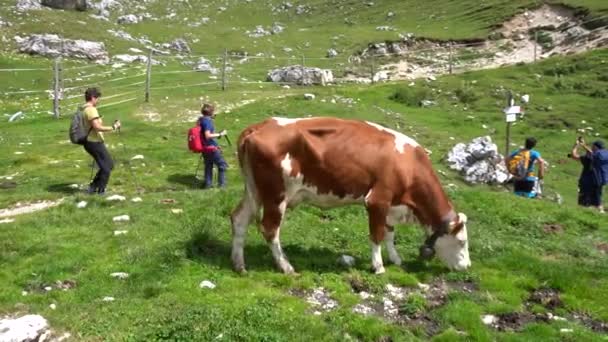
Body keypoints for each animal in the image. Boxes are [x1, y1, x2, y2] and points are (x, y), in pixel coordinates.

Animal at [230, 116, 472, 274]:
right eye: (461, 242)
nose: (467, 266)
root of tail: (259, 126)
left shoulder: (391, 206)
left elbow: (390, 234)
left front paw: (395, 259)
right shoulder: (377, 200)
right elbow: (377, 235)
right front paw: (379, 267)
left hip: (253, 190)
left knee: (239, 219)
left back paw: (239, 264)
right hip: (276, 194)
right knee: (270, 229)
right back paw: (286, 266)